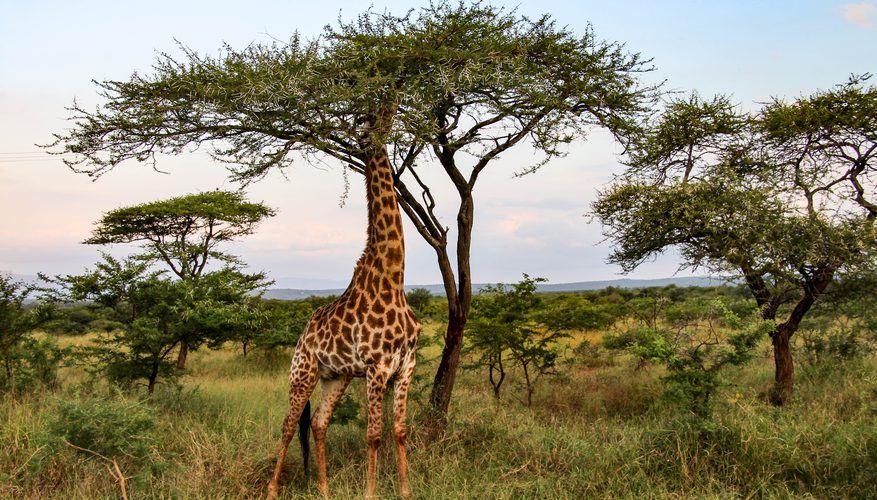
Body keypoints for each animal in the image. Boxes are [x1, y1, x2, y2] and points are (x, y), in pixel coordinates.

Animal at [266, 143, 421, 499]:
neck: (393, 278)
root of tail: (302, 335)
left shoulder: (406, 366)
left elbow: (400, 431)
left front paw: (406, 492)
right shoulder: (378, 368)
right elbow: (374, 435)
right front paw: (370, 493)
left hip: (336, 376)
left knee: (318, 422)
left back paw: (324, 489)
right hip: (302, 373)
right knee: (288, 425)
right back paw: (271, 489)